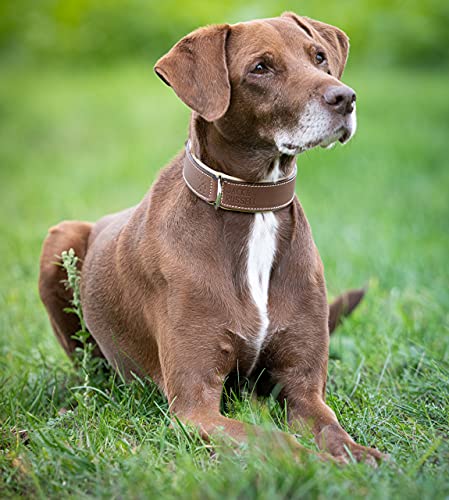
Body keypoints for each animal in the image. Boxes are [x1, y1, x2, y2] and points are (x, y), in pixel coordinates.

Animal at [38, 12, 384, 464]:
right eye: (261, 67)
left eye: (319, 57)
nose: (345, 98)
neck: (253, 208)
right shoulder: (193, 405)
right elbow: (276, 441)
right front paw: (322, 466)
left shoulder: (303, 388)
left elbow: (330, 426)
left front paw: (361, 456)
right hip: (60, 237)